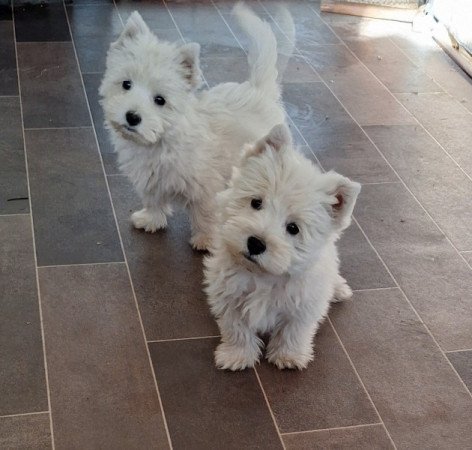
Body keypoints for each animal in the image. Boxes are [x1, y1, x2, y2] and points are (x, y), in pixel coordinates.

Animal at [99, 3, 294, 250]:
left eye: (160, 100)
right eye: (126, 84)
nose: (132, 117)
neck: (162, 141)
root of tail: (258, 90)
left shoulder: (205, 187)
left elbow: (205, 213)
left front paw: (206, 240)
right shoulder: (149, 181)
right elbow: (153, 200)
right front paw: (151, 219)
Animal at [204, 125, 362, 370]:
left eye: (293, 228)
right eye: (256, 202)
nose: (255, 243)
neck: (263, 275)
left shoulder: (303, 305)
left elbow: (294, 331)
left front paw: (289, 355)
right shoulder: (228, 295)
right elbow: (236, 328)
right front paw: (236, 355)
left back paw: (339, 289)